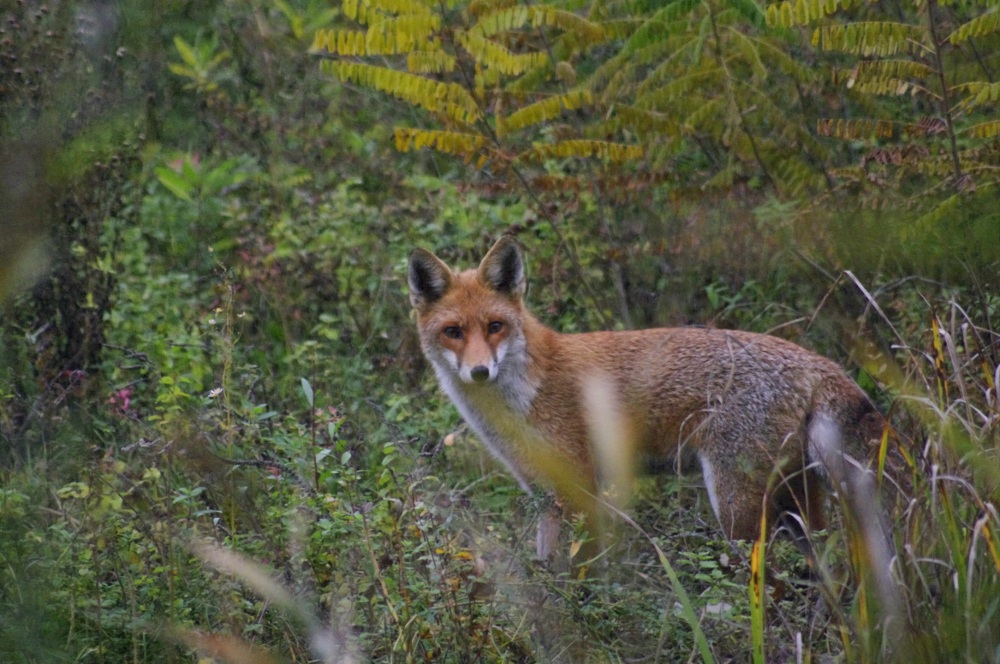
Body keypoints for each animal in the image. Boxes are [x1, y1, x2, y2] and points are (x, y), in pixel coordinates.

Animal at [408, 235, 887, 563]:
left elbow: (580, 574)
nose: (479, 371)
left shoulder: (579, 488)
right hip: (798, 505)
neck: (525, 396)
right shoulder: (545, 495)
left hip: (737, 506)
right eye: (453, 332)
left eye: (495, 327)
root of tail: (816, 360)